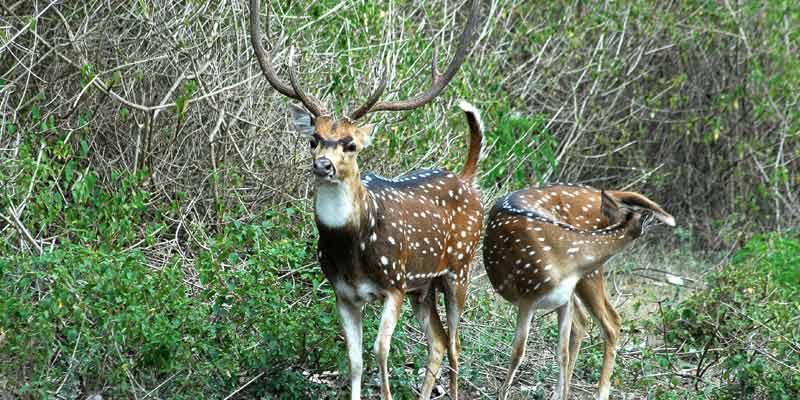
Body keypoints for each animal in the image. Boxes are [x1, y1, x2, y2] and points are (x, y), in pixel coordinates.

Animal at [247, 1, 482, 398]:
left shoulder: (395, 283)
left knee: (455, 344)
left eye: (350, 144)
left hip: (459, 268)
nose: (322, 165)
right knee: (437, 341)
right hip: (424, 285)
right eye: (313, 139)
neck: (353, 252)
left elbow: (381, 351)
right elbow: (354, 359)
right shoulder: (343, 292)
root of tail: (465, 178)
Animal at [482, 184, 676, 400]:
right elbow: (519, 352)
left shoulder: (562, 299)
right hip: (585, 280)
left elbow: (562, 353)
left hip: (588, 279)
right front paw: (502, 394)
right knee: (596, 321)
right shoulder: (527, 295)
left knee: (606, 321)